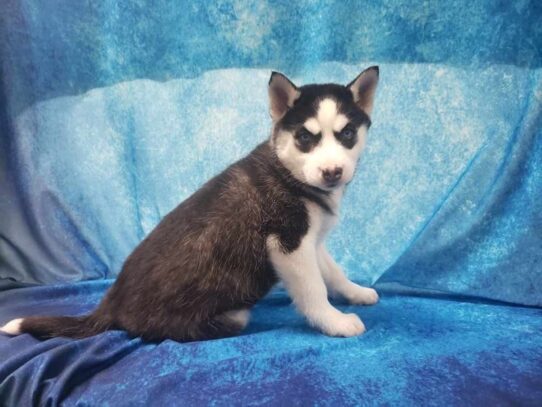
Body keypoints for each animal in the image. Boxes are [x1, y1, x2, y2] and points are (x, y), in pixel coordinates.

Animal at [0, 66, 382, 342]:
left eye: (348, 134)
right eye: (305, 137)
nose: (332, 172)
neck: (290, 173)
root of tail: (109, 304)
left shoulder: (310, 239)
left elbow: (332, 271)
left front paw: (356, 292)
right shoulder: (288, 244)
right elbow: (313, 288)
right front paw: (334, 322)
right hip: (216, 316)